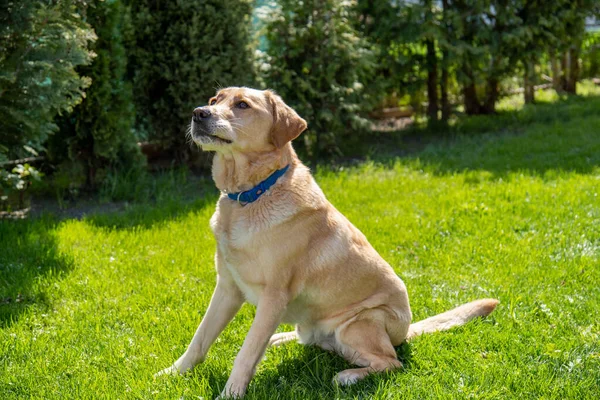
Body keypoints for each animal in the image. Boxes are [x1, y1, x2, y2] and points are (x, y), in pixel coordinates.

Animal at [157, 86, 500, 396]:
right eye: (215, 99)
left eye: (242, 105)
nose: (198, 113)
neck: (250, 196)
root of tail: (405, 332)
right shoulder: (227, 287)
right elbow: (200, 339)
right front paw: (172, 373)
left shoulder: (273, 296)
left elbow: (246, 351)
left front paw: (230, 393)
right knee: (312, 342)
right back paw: (281, 339)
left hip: (357, 325)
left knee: (390, 362)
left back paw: (348, 376)